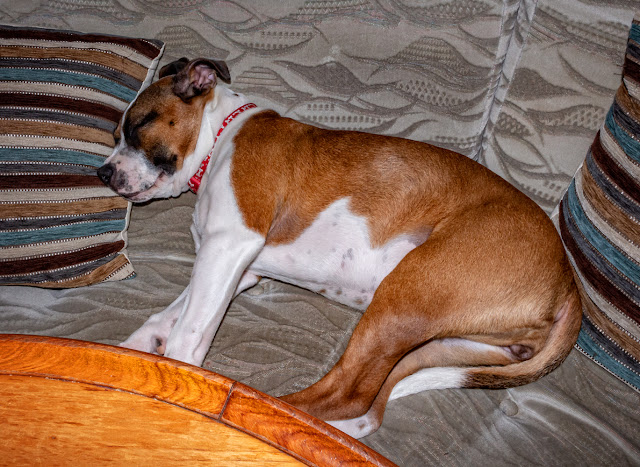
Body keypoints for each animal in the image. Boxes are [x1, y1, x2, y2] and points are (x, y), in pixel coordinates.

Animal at [97, 57, 584, 438]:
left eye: (137, 126)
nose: (103, 172)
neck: (220, 137)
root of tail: (569, 283)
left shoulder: (229, 245)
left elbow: (188, 333)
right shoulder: (234, 268)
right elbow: (168, 316)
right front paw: (134, 353)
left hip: (405, 295)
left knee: (346, 394)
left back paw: (264, 411)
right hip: (449, 342)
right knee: (369, 406)